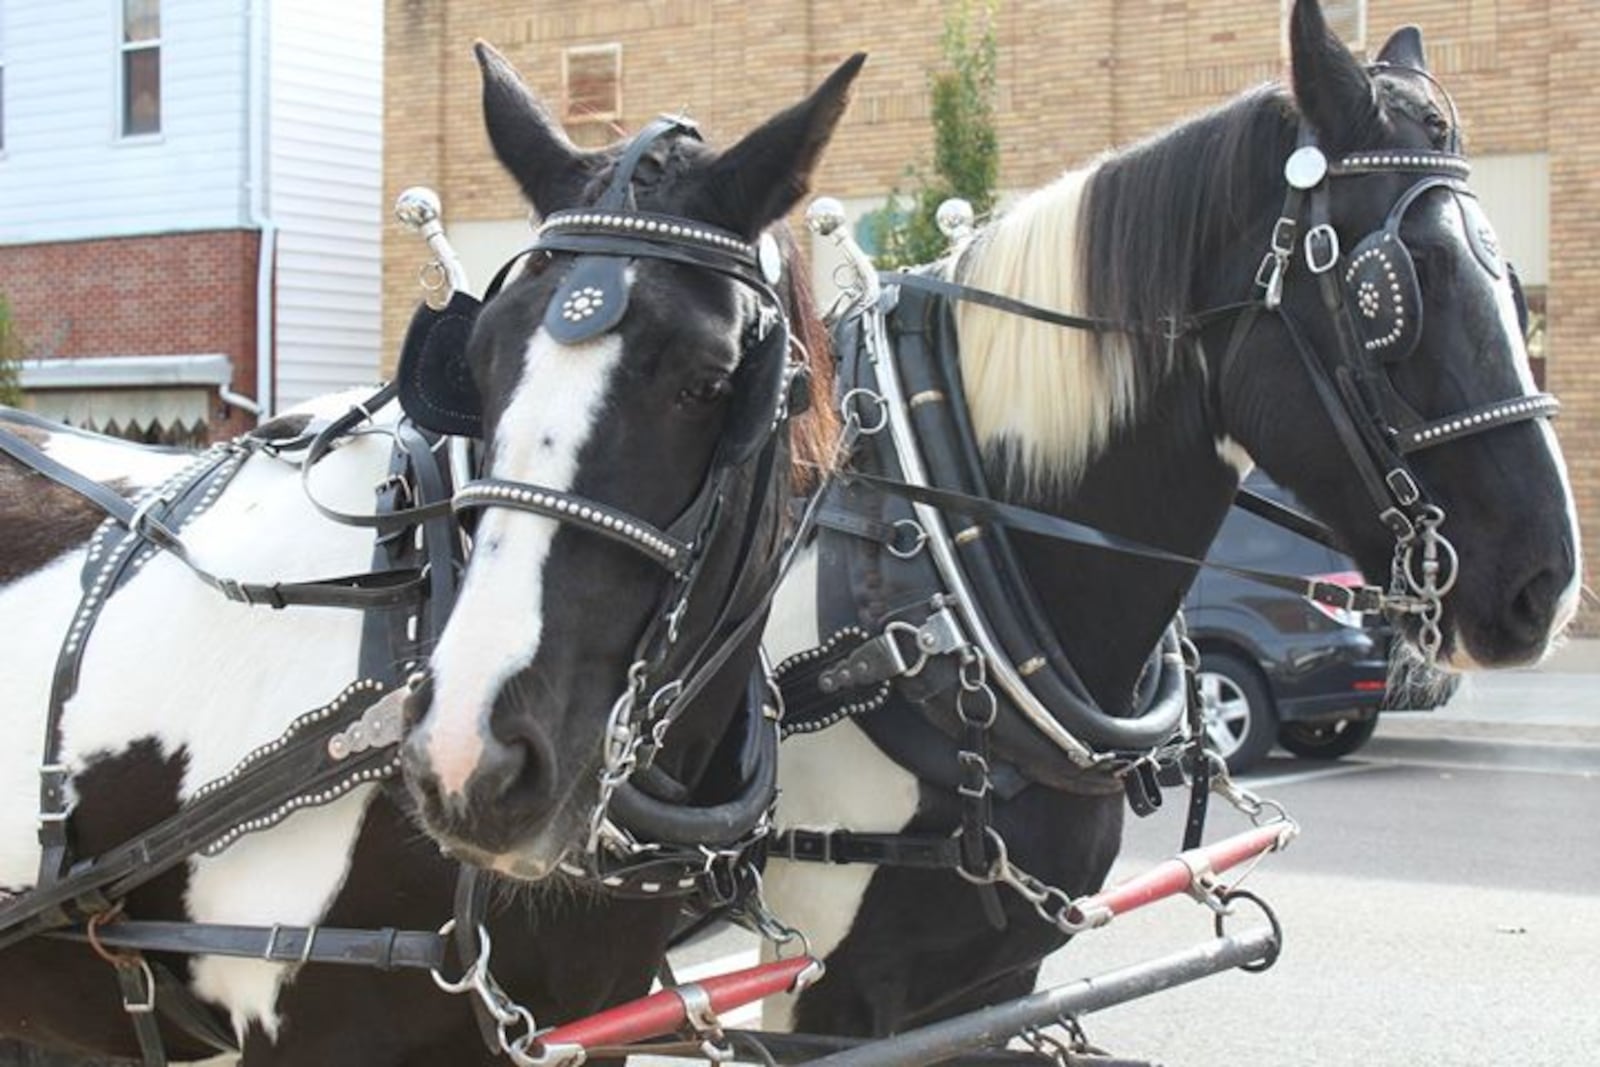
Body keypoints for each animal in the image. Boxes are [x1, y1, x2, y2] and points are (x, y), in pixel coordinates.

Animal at [758, 0, 1574, 1036]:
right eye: (1395, 286)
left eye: (1508, 276)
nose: (1547, 582)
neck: (936, 576)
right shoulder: (829, 995)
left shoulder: (989, 979)